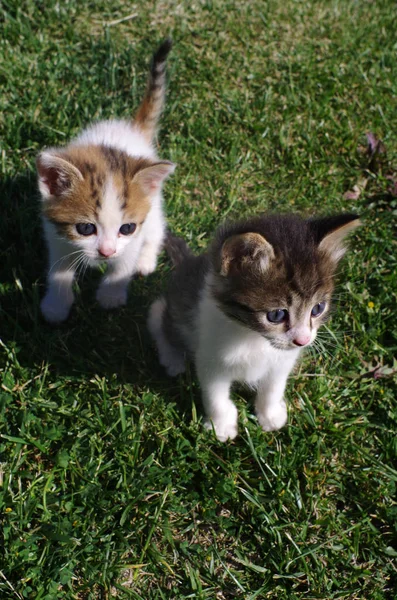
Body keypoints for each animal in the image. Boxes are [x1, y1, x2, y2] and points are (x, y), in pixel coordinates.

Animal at [36, 38, 175, 324]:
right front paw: (56, 304)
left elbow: (124, 263)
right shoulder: (55, 235)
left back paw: (146, 260)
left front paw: (111, 295)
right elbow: (58, 269)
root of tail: (132, 130)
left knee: (157, 229)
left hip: (154, 205)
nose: (106, 253)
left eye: (127, 228)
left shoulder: (135, 234)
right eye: (85, 228)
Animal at [148, 213, 358, 438]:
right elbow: (215, 396)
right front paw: (221, 425)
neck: (253, 336)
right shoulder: (210, 358)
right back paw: (173, 359)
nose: (303, 340)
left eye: (318, 308)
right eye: (276, 314)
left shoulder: (282, 361)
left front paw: (270, 415)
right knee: (158, 318)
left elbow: (273, 388)